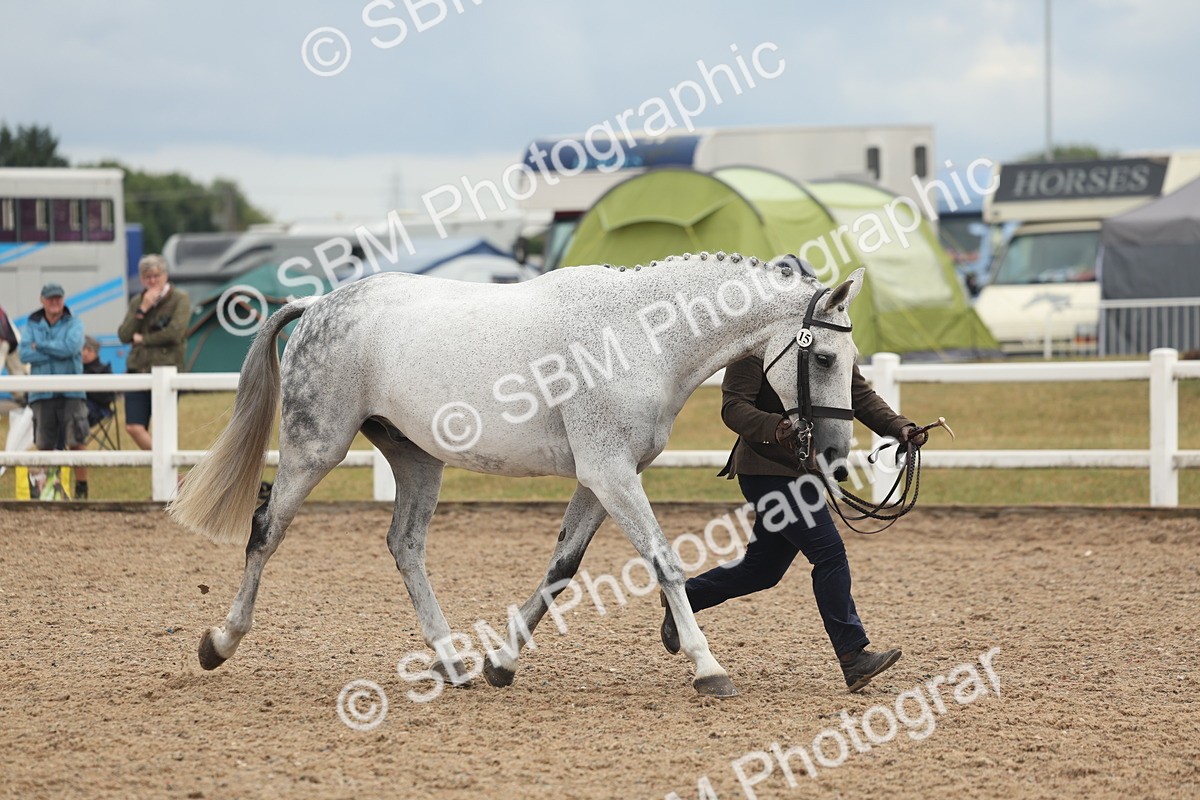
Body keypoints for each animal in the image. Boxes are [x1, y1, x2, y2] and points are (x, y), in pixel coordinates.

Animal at [167, 252, 865, 698]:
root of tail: (318, 303)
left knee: (405, 545)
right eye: (825, 357)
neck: (641, 336)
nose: (834, 452)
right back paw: (220, 642)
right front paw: (707, 667)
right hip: (317, 446)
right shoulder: (612, 473)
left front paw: (501, 663)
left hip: (416, 458)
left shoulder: (601, 477)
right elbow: (664, 562)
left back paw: (452, 662)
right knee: (267, 528)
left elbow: (562, 567)